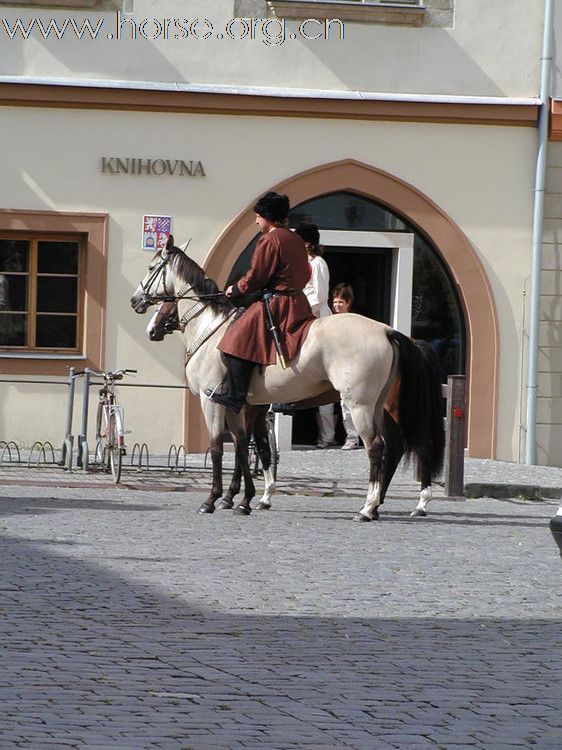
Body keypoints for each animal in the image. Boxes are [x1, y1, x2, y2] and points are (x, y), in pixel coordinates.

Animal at [131, 238, 442, 520]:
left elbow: (221, 448)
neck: (212, 330)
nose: (136, 302)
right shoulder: (241, 406)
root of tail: (387, 331)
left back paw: (372, 508)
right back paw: (380, 506)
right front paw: (245, 499)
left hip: (362, 406)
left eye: (151, 268)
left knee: (381, 447)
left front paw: (214, 499)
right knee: (392, 448)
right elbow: (247, 448)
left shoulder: (214, 402)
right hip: (377, 406)